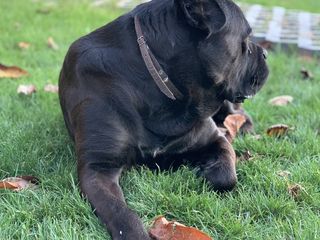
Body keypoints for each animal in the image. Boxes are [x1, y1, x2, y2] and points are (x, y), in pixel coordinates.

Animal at [59, 0, 268, 239]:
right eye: (245, 41)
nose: (266, 53)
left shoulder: (213, 139)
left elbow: (227, 177)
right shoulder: (97, 168)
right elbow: (120, 212)